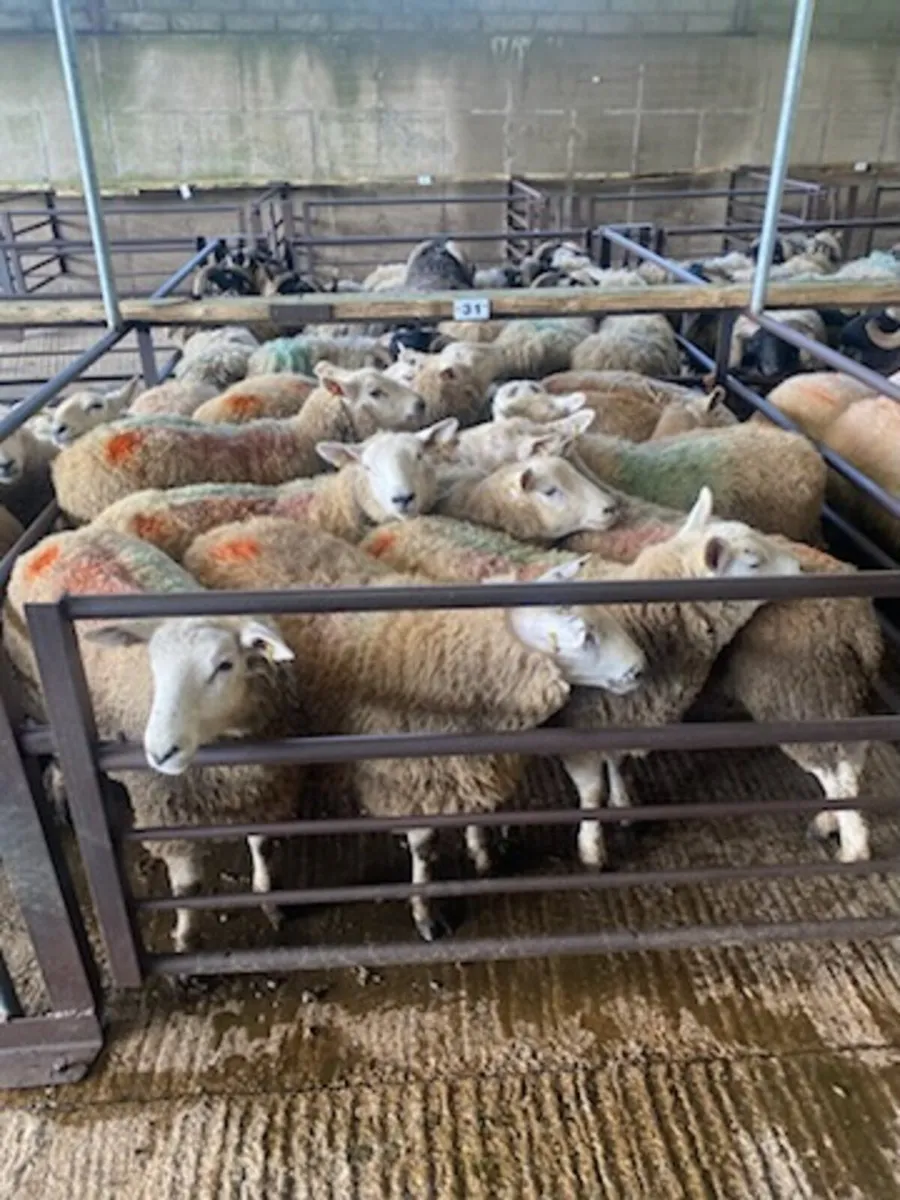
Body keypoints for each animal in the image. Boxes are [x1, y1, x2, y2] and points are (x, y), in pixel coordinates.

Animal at [5, 526, 304, 953]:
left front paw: (269, 902)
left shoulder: (263, 794)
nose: (161, 753)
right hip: (38, 693)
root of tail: (55, 538)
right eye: (153, 665)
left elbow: (261, 845)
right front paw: (184, 940)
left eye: (224, 665)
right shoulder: (165, 816)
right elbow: (188, 888)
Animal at [184, 517, 644, 938]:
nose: (639, 669)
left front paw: (481, 853)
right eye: (585, 635)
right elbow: (424, 849)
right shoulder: (409, 774)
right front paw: (425, 913)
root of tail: (230, 528)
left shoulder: (465, 759)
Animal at [363, 504, 882, 865]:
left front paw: (607, 826)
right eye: (752, 562)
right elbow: (600, 781)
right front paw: (603, 833)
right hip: (815, 690)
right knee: (844, 765)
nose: (799, 570)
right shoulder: (592, 721)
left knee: (841, 767)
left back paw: (847, 838)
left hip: (811, 691)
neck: (644, 614)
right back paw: (846, 837)